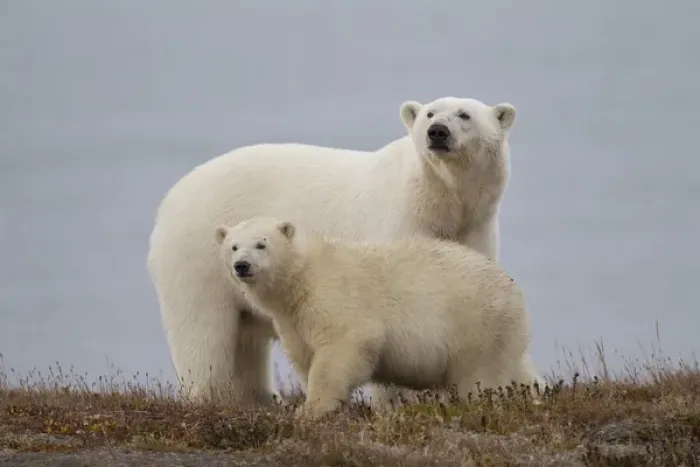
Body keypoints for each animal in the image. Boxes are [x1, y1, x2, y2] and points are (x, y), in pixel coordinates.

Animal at [147, 96, 523, 407]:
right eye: (430, 113)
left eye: (465, 115)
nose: (437, 132)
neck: (439, 200)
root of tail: (169, 199)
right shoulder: (397, 226)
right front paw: (400, 402)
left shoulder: (474, 232)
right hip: (199, 261)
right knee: (203, 334)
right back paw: (208, 398)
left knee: (247, 339)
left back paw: (260, 400)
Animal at [214, 216, 543, 419]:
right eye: (233, 246)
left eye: (261, 243)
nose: (242, 265)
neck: (302, 276)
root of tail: (517, 294)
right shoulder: (293, 320)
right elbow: (306, 356)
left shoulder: (333, 297)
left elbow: (344, 347)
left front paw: (312, 410)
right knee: (516, 371)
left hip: (477, 326)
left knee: (480, 377)